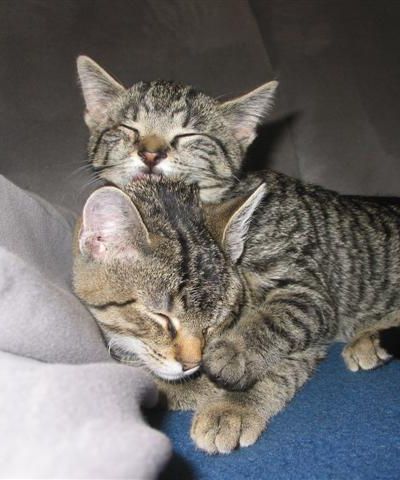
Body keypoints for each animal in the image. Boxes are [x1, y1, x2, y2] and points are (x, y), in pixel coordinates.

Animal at [73, 175, 400, 454]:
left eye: (212, 325)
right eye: (162, 317)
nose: (192, 363)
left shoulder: (311, 308)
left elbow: (277, 364)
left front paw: (230, 408)